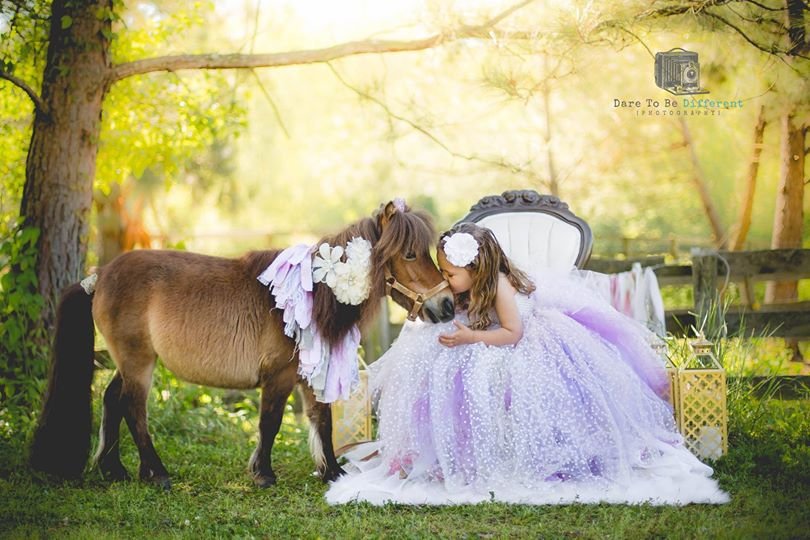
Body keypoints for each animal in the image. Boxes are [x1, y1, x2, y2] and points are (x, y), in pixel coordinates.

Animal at [29, 200, 455, 489]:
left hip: (130, 361)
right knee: (133, 409)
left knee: (111, 400)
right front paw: (263, 473)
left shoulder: (307, 375)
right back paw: (157, 473)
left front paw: (332, 471)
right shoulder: (279, 377)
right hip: (139, 362)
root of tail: (99, 275)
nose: (447, 304)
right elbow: (271, 423)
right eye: (410, 254)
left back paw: (113, 468)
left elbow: (322, 420)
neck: (317, 293)